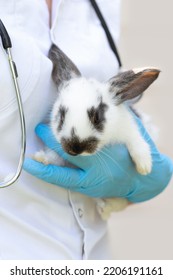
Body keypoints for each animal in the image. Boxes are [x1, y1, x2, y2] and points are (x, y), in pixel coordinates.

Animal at [33, 43, 159, 220]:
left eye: (97, 116)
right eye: (61, 114)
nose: (75, 149)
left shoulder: (129, 129)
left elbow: (137, 143)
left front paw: (145, 167)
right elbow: (55, 156)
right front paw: (41, 158)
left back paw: (105, 209)